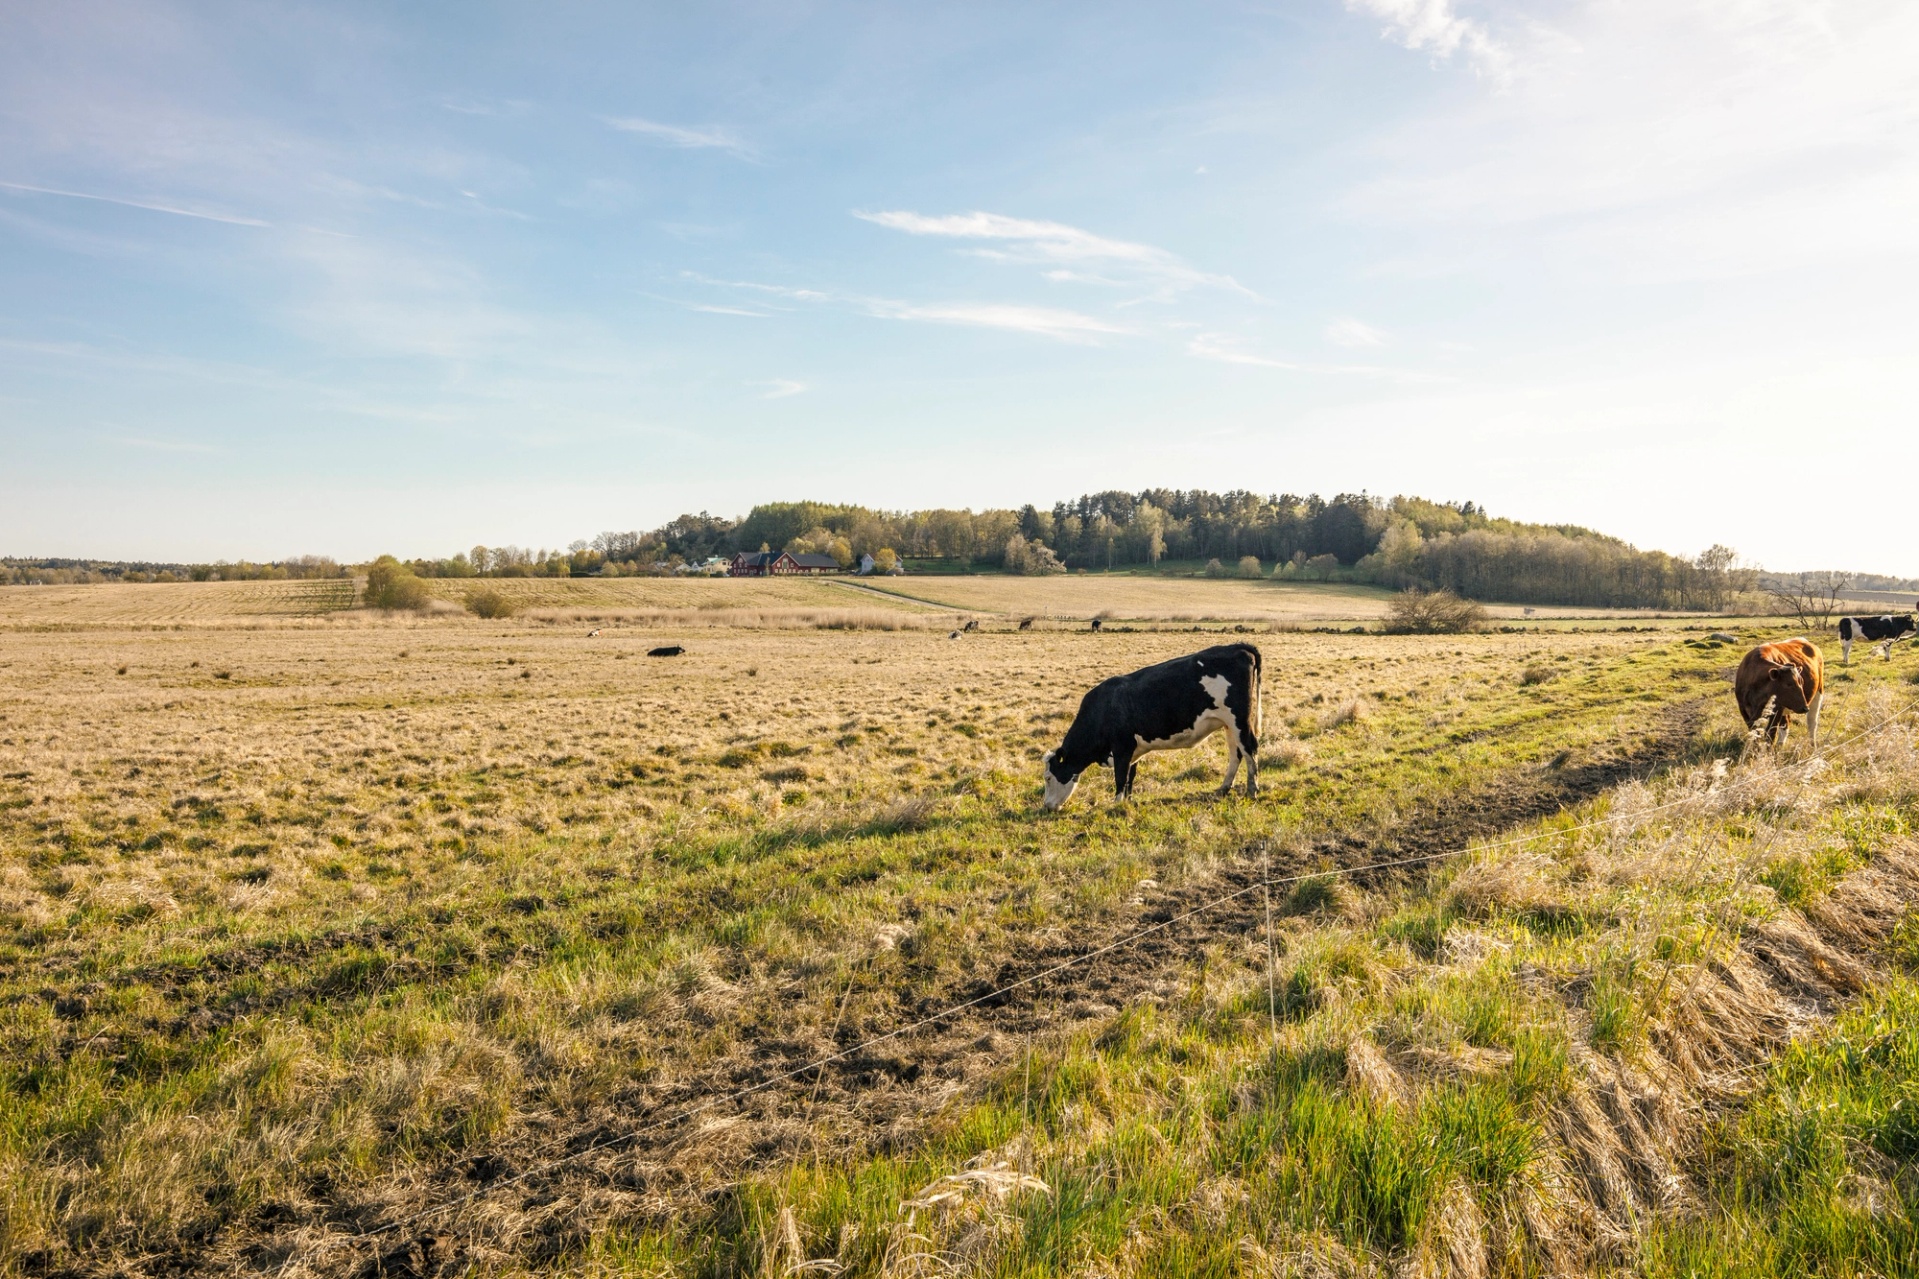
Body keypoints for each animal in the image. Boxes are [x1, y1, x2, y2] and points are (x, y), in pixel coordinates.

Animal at [1043, 637, 1266, 806]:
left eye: (1048, 778)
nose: (1046, 806)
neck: (1105, 707)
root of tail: (1238, 647)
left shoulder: (1122, 747)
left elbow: (1120, 776)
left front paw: (1116, 804)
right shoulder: (1133, 749)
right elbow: (1130, 777)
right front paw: (1127, 802)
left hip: (1239, 720)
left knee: (1250, 748)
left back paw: (1252, 790)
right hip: (1228, 724)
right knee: (1236, 753)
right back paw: (1223, 788)